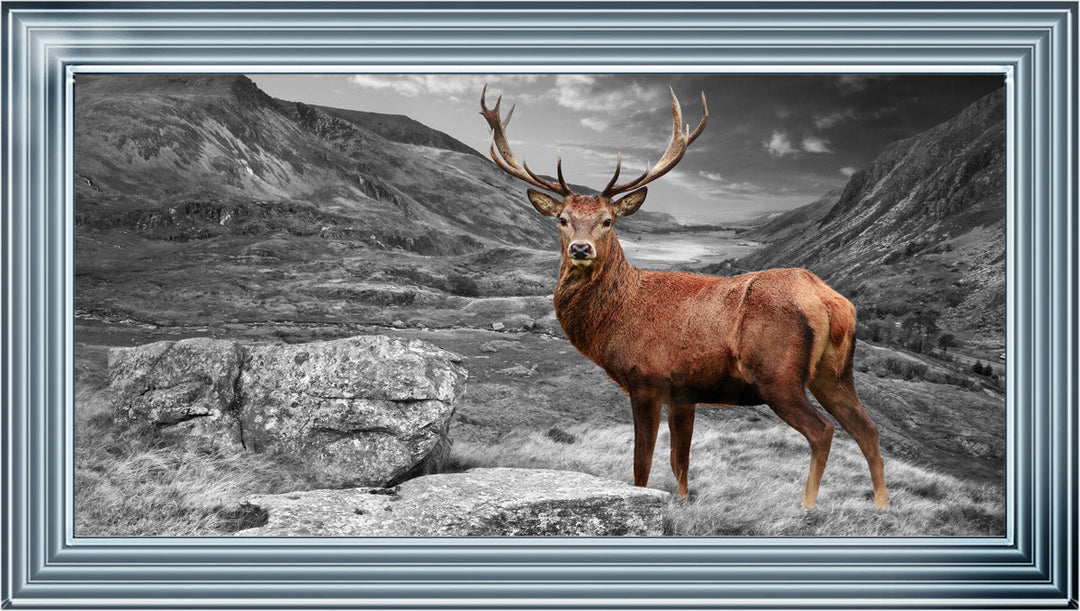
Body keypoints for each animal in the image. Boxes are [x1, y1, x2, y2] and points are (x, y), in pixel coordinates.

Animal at [479, 85, 887, 509]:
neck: (616, 319)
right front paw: (684, 503)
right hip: (835, 373)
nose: (580, 249)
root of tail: (832, 303)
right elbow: (681, 464)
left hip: (778, 375)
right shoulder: (684, 393)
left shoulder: (647, 380)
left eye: (608, 221)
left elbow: (642, 465)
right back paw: (881, 505)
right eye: (562, 219)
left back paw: (807, 506)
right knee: (868, 429)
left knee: (823, 431)